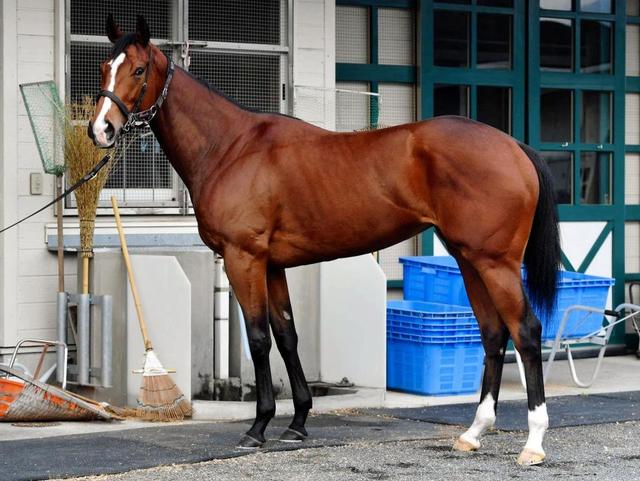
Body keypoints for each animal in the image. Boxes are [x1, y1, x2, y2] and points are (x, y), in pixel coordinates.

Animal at [88, 16, 560, 466]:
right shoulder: (272, 265)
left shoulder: (244, 259)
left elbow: (259, 339)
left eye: (138, 69)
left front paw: (257, 428)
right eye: (103, 67)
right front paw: (296, 422)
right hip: (469, 259)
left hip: (495, 262)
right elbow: (286, 336)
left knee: (526, 331)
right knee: (493, 334)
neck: (230, 148)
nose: (101, 130)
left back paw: (533, 444)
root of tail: (514, 146)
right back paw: (473, 433)